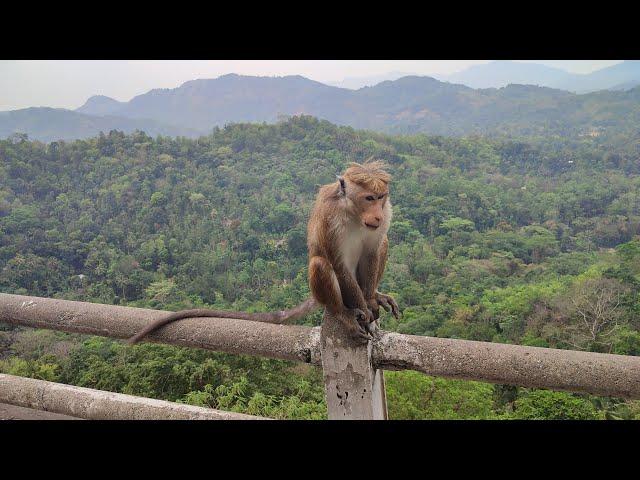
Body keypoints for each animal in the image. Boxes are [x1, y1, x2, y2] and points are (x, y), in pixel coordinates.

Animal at [127, 160, 398, 344]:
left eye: (381, 197)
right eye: (369, 198)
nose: (377, 214)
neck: (353, 213)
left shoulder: (387, 213)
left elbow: (373, 250)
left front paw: (371, 300)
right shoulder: (330, 218)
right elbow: (338, 264)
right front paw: (362, 312)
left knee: (383, 243)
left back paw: (374, 295)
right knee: (321, 263)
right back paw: (342, 313)